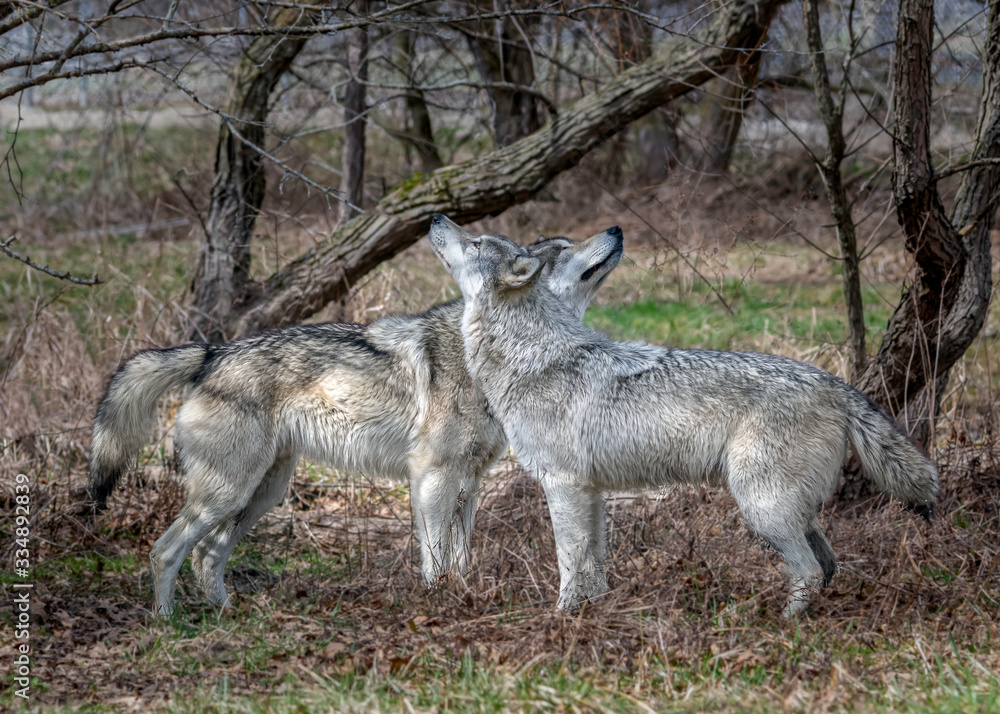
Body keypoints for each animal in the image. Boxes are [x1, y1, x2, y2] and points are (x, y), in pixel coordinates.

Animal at [89, 227, 622, 615]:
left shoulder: (469, 484)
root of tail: (212, 353)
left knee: (206, 555)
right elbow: (434, 559)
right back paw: (167, 623)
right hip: (228, 492)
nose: (616, 230)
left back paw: (227, 614)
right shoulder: (431, 479)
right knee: (166, 551)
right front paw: (439, 604)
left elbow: (461, 558)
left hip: (259, 495)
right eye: (563, 249)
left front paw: (464, 596)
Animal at [428, 215, 939, 617]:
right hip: (784, 510)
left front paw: (562, 619)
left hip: (761, 508)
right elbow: (596, 566)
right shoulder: (591, 493)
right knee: (828, 564)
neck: (531, 355)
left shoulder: (564, 487)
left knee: (811, 570)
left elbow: (570, 565)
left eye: (476, 242)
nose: (435, 216)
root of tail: (834, 382)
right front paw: (597, 613)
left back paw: (778, 625)